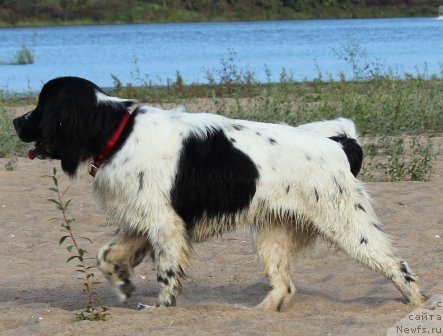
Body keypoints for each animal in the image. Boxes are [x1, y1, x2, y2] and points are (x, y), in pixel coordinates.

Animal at [13, 77, 428, 312]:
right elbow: (106, 257)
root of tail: (340, 144)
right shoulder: (145, 220)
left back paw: (417, 306)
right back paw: (257, 315)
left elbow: (166, 276)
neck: (117, 132)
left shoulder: (165, 227)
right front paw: (123, 286)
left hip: (346, 225)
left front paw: (161, 310)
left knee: (399, 266)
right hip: (272, 234)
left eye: (40, 107)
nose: (15, 120)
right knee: (284, 285)